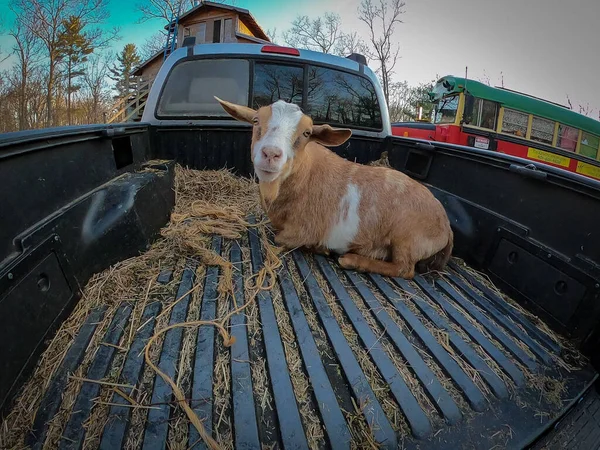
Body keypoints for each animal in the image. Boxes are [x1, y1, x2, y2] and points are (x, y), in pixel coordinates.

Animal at [213, 97, 452, 278]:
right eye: (255, 120)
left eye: (307, 133)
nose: (271, 154)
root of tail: (446, 226)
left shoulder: (302, 230)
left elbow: (281, 238)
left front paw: (319, 247)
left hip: (407, 237)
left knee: (404, 269)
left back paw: (352, 261)